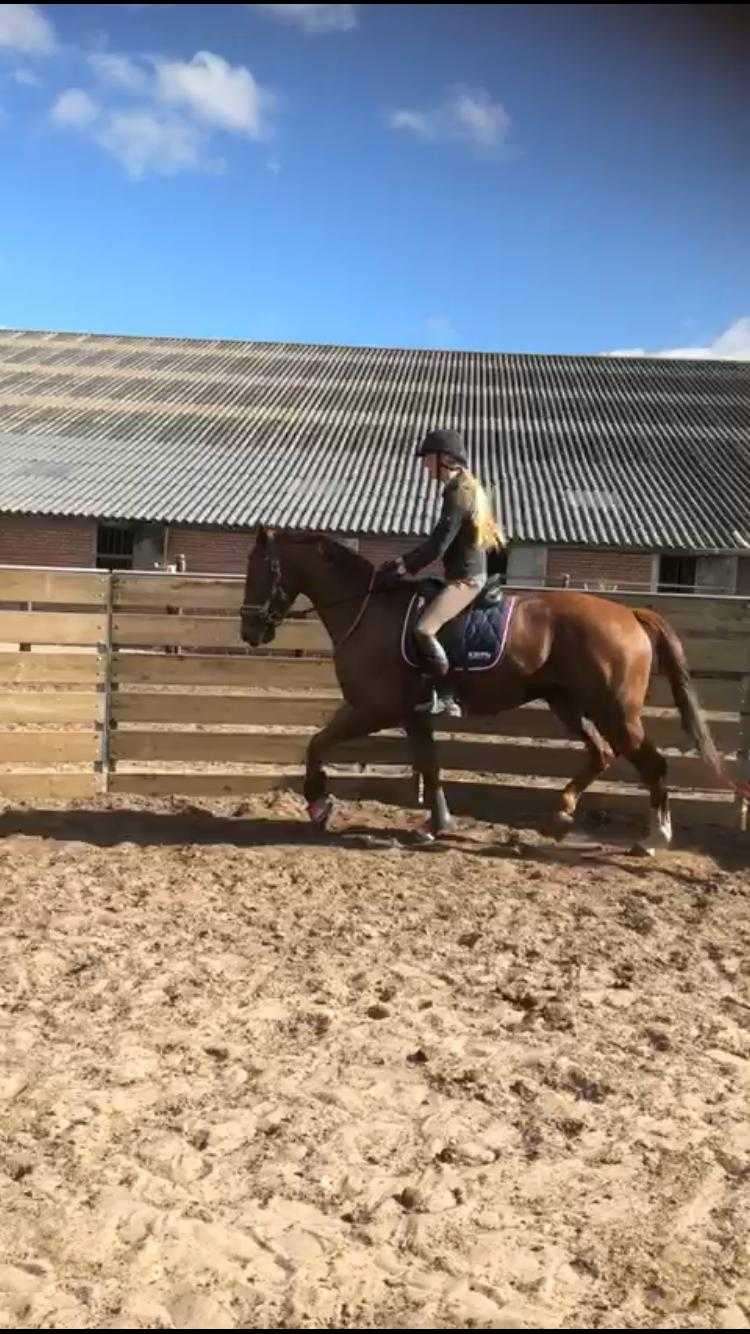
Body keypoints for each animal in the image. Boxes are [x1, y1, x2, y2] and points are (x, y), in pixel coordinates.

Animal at [240, 528, 741, 854]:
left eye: (260, 569)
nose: (250, 632)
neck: (369, 611)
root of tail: (630, 615)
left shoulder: (372, 708)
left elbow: (317, 743)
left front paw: (317, 803)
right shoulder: (413, 714)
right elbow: (430, 766)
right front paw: (435, 824)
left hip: (615, 713)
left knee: (652, 764)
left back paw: (653, 839)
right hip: (568, 705)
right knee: (600, 754)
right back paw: (560, 815)